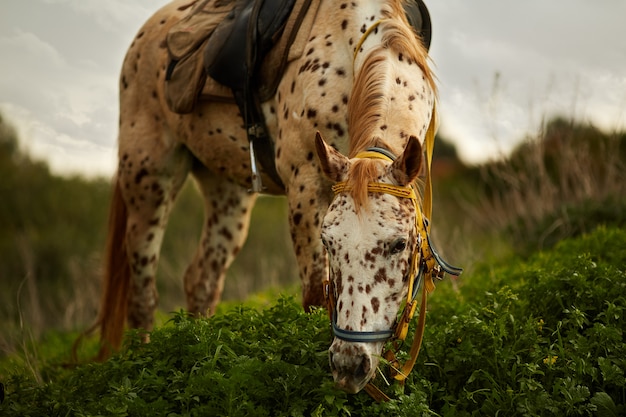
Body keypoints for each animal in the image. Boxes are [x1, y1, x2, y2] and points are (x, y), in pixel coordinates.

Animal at [94, 0, 458, 396]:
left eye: (398, 244)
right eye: (329, 243)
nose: (349, 364)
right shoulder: (306, 186)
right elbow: (315, 294)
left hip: (227, 192)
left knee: (201, 280)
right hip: (148, 181)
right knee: (142, 293)